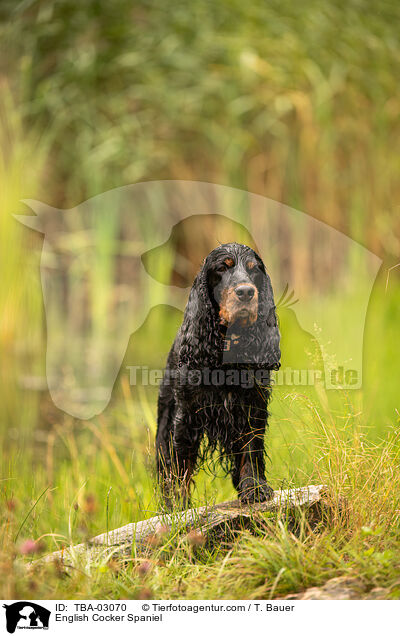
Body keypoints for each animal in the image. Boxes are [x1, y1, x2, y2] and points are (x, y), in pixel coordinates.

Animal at [155, 243, 280, 506]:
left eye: (254, 270)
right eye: (223, 267)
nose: (246, 292)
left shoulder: (253, 405)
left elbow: (251, 447)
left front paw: (254, 487)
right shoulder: (187, 413)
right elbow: (181, 461)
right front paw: (178, 505)